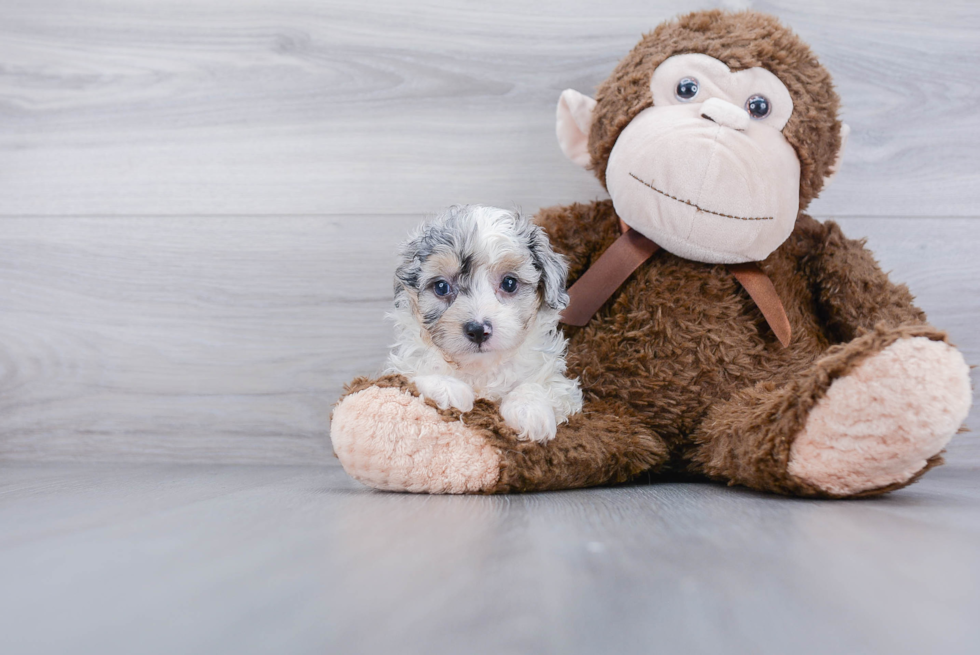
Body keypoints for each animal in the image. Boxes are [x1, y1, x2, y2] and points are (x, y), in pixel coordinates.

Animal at [382, 205, 580, 444]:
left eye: (509, 283)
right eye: (441, 287)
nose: (477, 331)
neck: (480, 368)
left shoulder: (560, 386)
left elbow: (539, 383)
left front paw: (530, 410)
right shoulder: (401, 368)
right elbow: (414, 376)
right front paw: (448, 388)